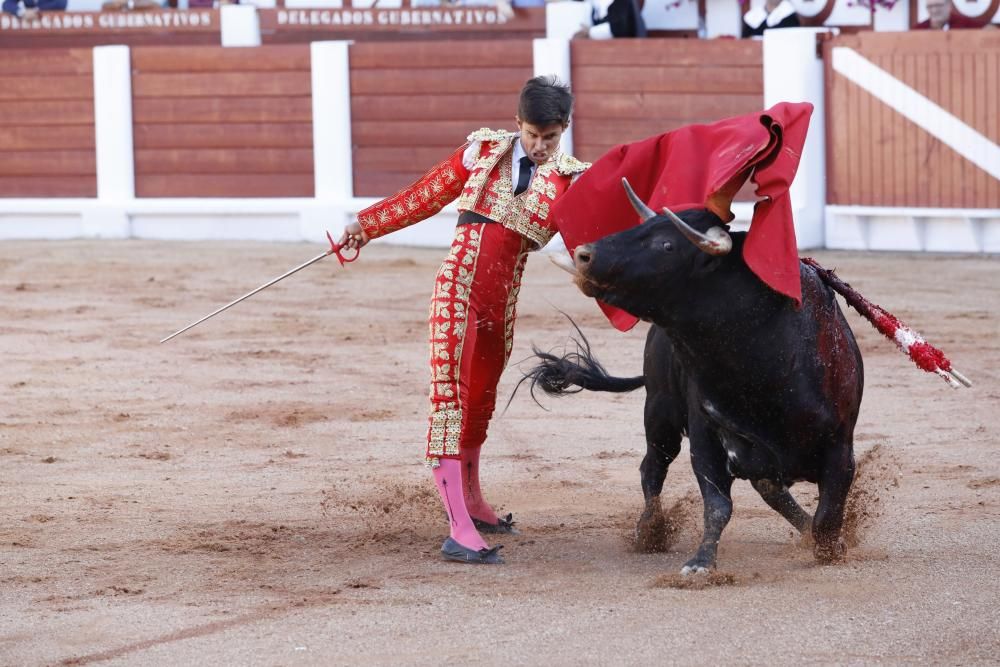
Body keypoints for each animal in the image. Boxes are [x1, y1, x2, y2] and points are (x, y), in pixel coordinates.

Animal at [528, 184, 864, 576]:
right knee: (653, 467)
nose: (584, 254)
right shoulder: (706, 437)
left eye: (667, 245)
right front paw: (700, 563)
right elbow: (717, 506)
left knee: (771, 489)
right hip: (660, 414)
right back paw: (650, 530)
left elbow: (829, 511)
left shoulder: (841, 447)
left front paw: (829, 546)